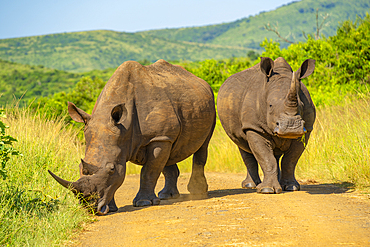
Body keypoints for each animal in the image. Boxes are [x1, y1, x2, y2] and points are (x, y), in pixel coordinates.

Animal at [49, 59, 217, 214]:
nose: (89, 207)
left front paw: (143, 203)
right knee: (169, 152)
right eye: (79, 167)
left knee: (202, 147)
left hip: (208, 106)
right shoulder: (143, 139)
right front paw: (111, 209)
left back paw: (197, 192)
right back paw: (166, 196)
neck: (124, 129)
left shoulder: (156, 137)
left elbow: (148, 171)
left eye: (111, 168)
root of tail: (198, 79)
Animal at [218, 57, 316, 194]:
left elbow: (290, 159)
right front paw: (267, 190)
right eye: (270, 105)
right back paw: (250, 186)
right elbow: (266, 157)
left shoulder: (307, 130)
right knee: (243, 147)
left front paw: (291, 187)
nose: (291, 127)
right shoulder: (254, 127)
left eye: (301, 105)